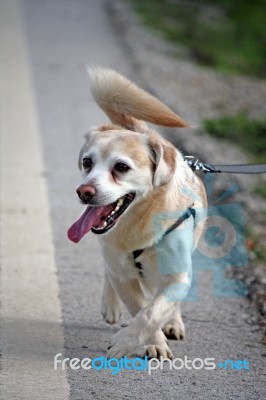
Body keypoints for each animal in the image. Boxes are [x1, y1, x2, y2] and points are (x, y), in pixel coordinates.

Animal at [67, 67, 207, 358]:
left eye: (121, 167)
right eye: (87, 162)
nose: (83, 191)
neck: (138, 225)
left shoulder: (178, 277)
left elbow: (153, 312)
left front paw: (128, 340)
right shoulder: (123, 275)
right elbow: (142, 309)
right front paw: (154, 343)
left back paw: (174, 323)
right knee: (110, 274)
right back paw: (110, 304)